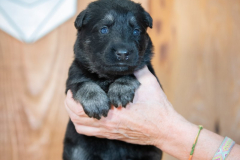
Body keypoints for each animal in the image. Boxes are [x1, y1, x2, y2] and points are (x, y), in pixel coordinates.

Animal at [63, 0, 163, 159]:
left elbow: (129, 73)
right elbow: (84, 83)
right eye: (104, 29)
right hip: (78, 151)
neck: (109, 76)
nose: (123, 53)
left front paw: (121, 89)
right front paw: (95, 101)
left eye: (136, 31)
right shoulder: (73, 78)